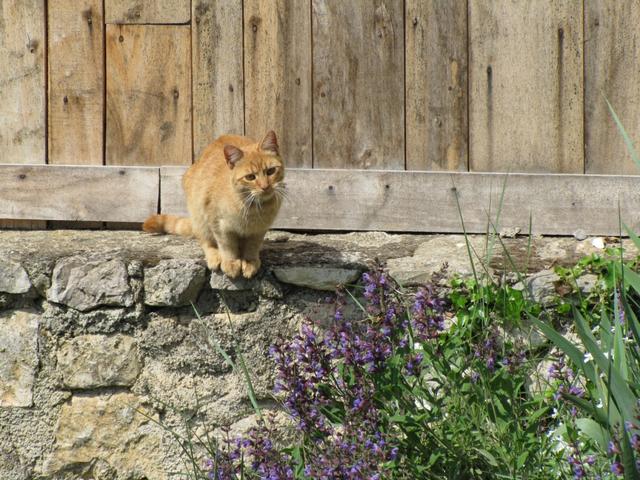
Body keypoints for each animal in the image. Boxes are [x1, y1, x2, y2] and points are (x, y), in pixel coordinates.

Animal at [145, 131, 288, 280]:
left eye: (271, 171)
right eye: (250, 177)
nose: (265, 187)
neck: (252, 207)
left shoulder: (259, 230)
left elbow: (252, 247)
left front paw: (250, 262)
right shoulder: (219, 224)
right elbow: (227, 246)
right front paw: (231, 262)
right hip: (200, 218)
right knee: (206, 242)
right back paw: (215, 257)